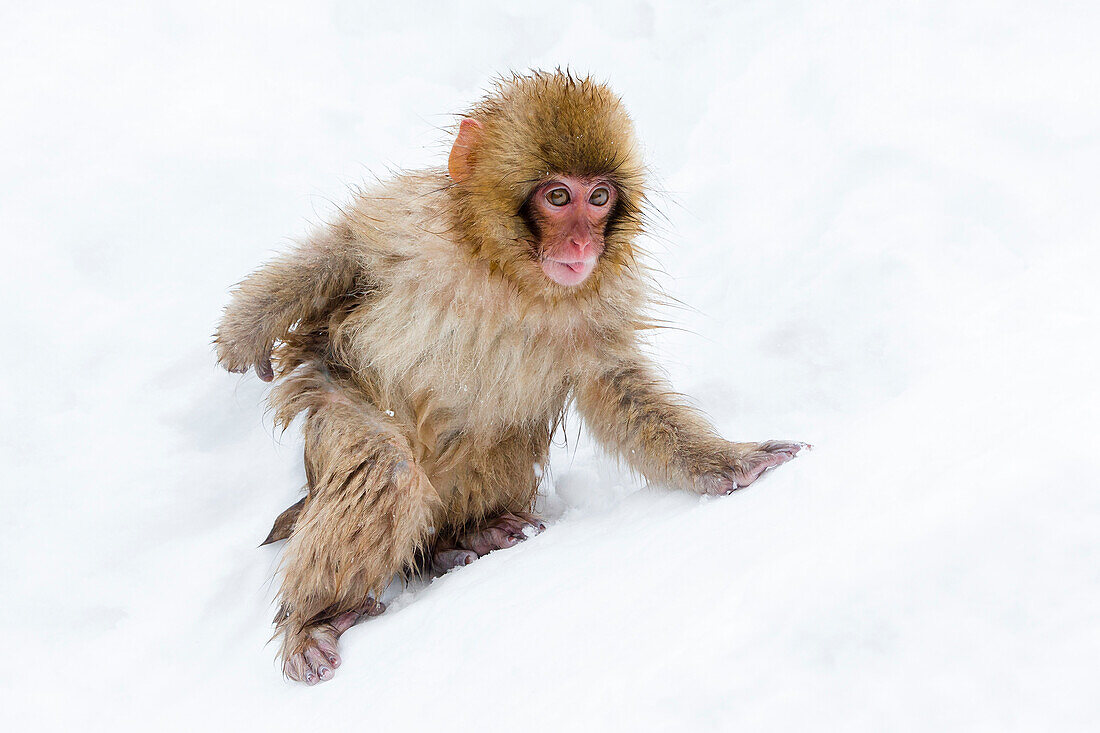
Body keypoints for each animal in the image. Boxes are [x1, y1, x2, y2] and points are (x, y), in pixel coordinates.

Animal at [214, 71, 800, 682]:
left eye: (599, 198)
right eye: (558, 196)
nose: (581, 243)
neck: (510, 274)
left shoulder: (603, 303)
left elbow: (615, 386)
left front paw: (725, 463)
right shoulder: (410, 221)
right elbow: (346, 249)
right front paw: (246, 327)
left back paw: (461, 537)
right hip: (333, 397)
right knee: (385, 466)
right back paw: (314, 620)